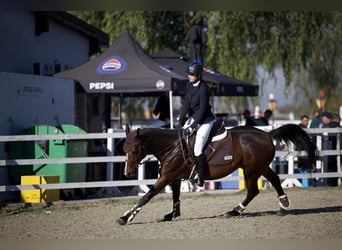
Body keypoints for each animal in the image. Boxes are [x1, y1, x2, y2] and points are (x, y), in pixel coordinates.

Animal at [117, 124, 316, 226]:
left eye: (134, 149)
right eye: (124, 149)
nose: (128, 173)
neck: (172, 146)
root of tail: (267, 134)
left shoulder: (166, 177)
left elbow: (147, 196)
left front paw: (126, 217)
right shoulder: (173, 178)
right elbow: (175, 196)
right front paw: (172, 214)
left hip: (251, 170)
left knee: (253, 191)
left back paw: (234, 211)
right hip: (260, 167)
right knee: (273, 180)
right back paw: (283, 206)